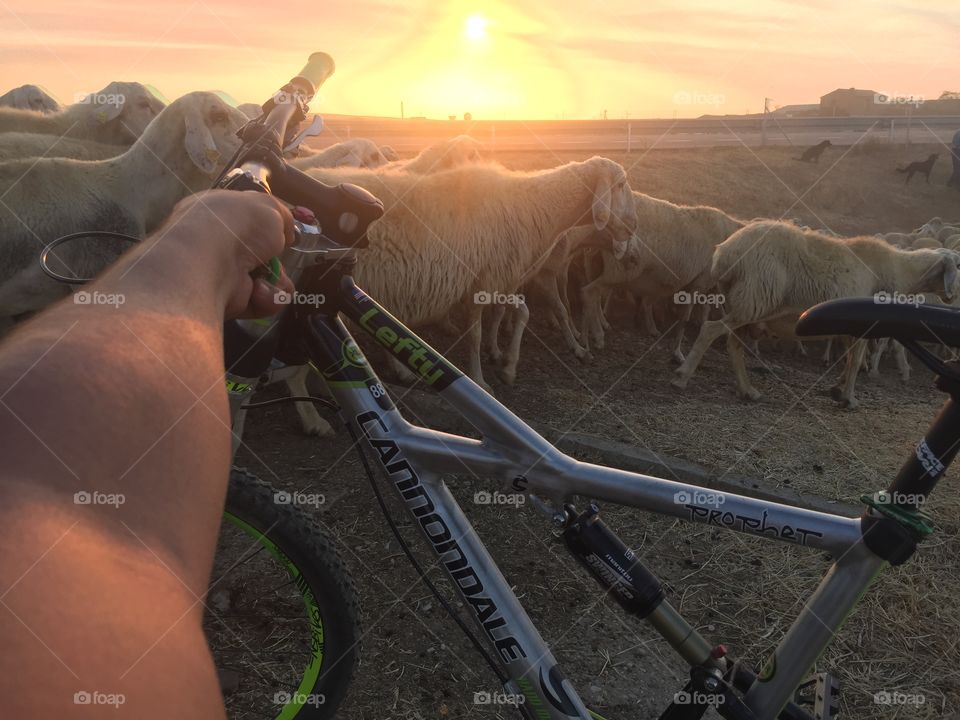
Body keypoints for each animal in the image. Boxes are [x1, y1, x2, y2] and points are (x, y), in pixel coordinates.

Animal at [572, 193, 748, 362]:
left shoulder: (698, 286)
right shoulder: (699, 283)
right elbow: (684, 319)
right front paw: (677, 354)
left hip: (596, 266)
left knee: (591, 297)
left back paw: (588, 338)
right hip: (620, 270)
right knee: (589, 293)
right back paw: (592, 340)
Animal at [672, 221, 960, 404]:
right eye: (957, 265)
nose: (953, 297)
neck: (897, 270)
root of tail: (726, 253)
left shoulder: (850, 326)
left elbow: (848, 359)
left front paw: (838, 388)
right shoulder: (865, 325)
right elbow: (855, 360)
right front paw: (849, 398)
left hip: (744, 302)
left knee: (734, 344)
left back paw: (747, 390)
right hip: (754, 298)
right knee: (710, 330)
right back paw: (683, 376)